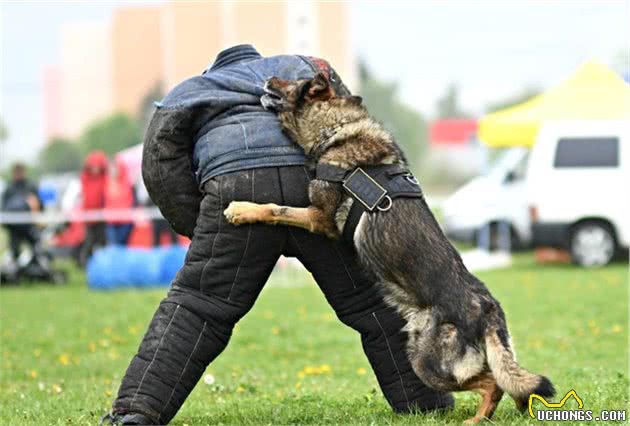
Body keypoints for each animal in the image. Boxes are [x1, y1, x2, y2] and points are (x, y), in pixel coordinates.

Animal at [225, 73, 556, 422]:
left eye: (293, 82)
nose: (267, 78)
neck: (336, 128)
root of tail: (487, 308)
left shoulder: (319, 217)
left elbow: (276, 208)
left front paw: (241, 210)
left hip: (426, 362)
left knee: (492, 383)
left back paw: (477, 418)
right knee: (511, 382)